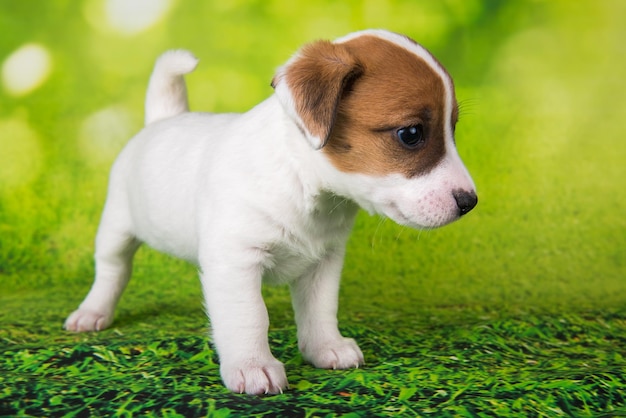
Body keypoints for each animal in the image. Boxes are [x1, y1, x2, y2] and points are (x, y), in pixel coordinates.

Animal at [66, 29, 478, 396]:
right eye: (411, 134)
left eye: (453, 128)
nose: (470, 202)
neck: (304, 184)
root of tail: (162, 119)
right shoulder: (236, 261)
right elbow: (249, 316)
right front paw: (253, 366)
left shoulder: (325, 261)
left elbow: (320, 309)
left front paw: (325, 347)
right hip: (116, 226)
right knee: (113, 270)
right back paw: (92, 312)